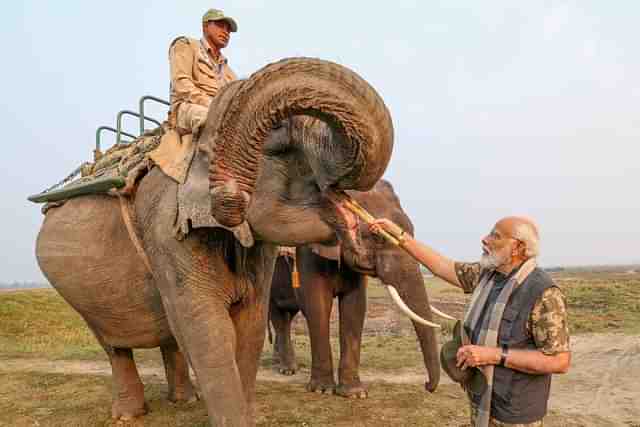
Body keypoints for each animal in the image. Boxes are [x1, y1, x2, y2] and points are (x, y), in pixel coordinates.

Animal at [35, 60, 398, 427]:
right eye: (280, 136)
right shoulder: (166, 231)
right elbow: (207, 329)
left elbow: (250, 325)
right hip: (79, 292)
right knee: (114, 346)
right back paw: (129, 414)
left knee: (170, 336)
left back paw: (183, 400)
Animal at [270, 180, 450, 398]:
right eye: (376, 236)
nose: (427, 385)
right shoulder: (309, 250)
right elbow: (317, 306)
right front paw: (322, 390)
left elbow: (355, 306)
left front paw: (354, 394)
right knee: (277, 317)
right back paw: (286, 369)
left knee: (286, 317)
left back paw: (282, 365)